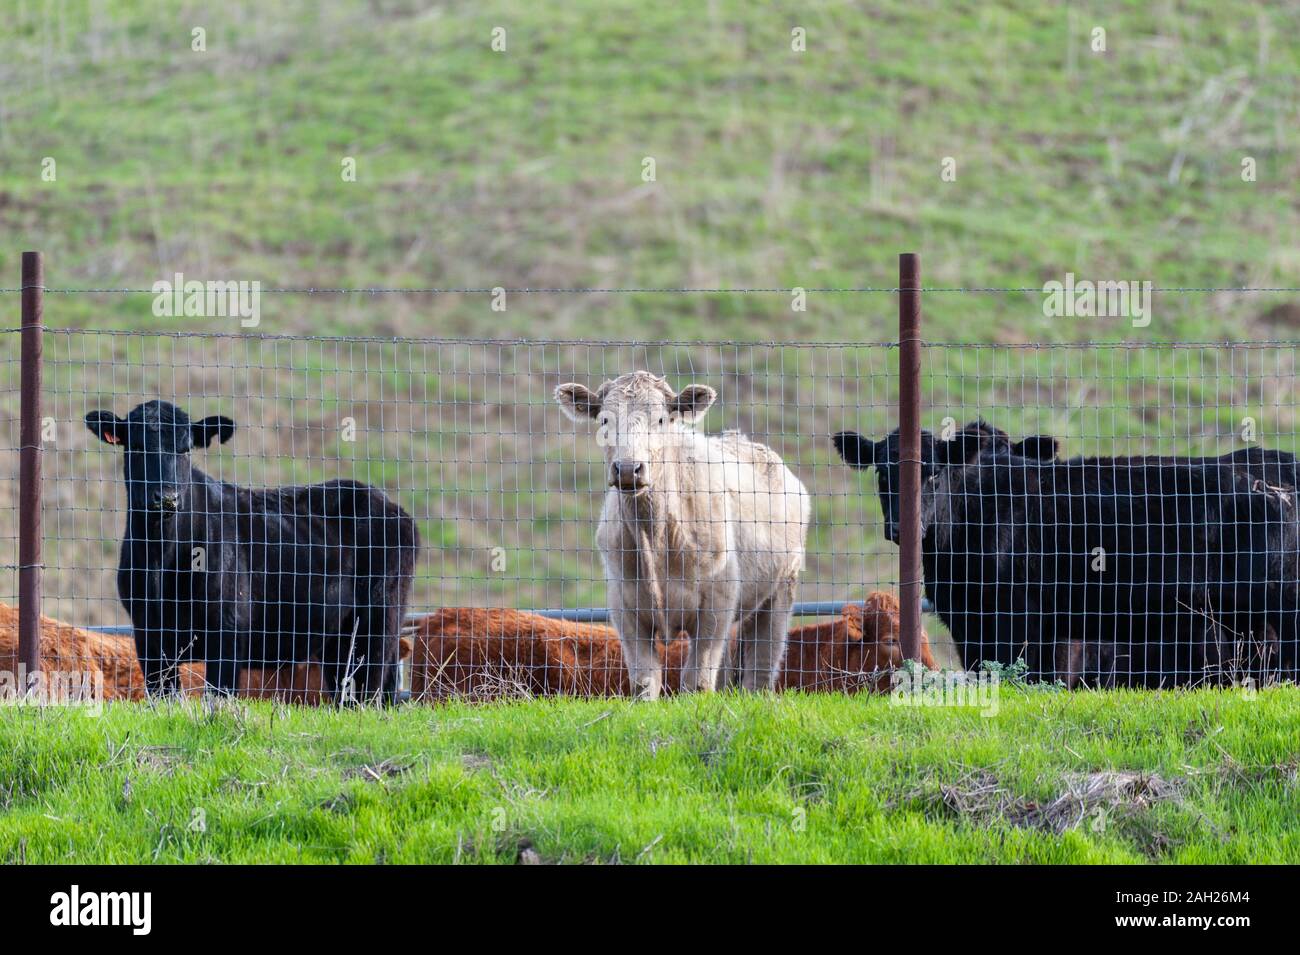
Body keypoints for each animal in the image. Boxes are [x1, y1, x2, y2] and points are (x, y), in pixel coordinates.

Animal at [86, 400, 419, 703]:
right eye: (136, 446)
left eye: (186, 449)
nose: (166, 497)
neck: (160, 557)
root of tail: (388, 503)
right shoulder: (149, 633)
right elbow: (162, 695)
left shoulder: (228, 627)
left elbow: (218, 695)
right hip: (341, 636)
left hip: (378, 619)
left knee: (368, 691)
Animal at [555, 372, 810, 698]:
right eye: (604, 420)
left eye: (661, 419)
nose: (628, 469)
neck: (655, 539)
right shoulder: (624, 606)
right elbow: (645, 680)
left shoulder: (717, 603)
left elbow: (697, 680)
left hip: (781, 587)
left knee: (762, 663)